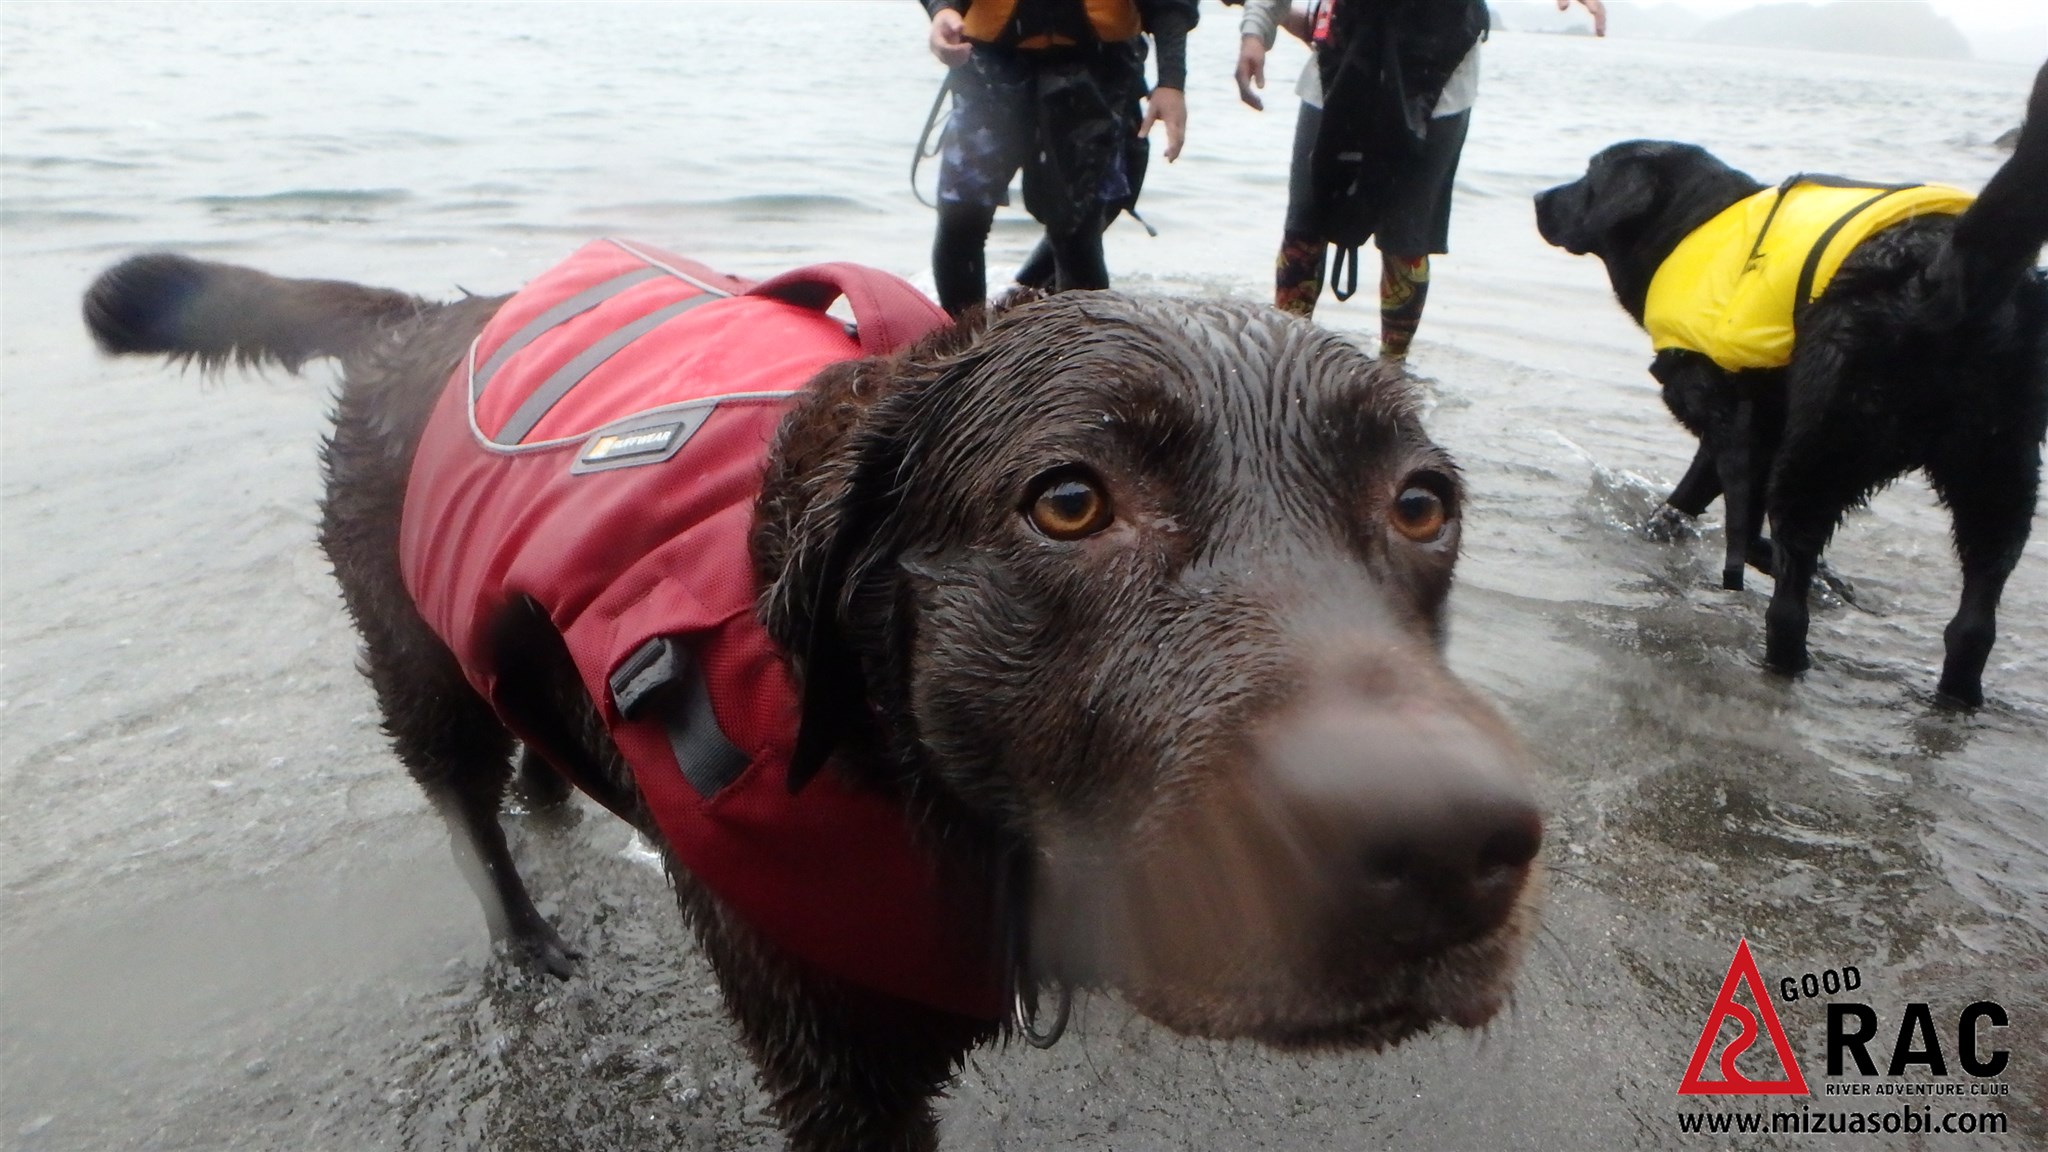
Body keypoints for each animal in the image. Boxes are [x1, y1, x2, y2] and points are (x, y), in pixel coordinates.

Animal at [88, 247, 1540, 1139]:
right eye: (1068, 501)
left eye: (1421, 505)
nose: (1448, 849)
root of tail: (424, 318)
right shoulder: (834, 1068)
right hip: (411, 660)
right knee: (460, 799)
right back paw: (524, 932)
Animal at [1540, 67, 2048, 705]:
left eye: (1589, 176)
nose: (1538, 199)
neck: (1691, 228)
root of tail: (1940, 275)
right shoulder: (1743, 426)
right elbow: (1697, 499)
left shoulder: (1734, 424)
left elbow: (1736, 524)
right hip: (1998, 470)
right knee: (1974, 623)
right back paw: (1956, 694)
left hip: (1817, 454)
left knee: (1790, 603)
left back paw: (1784, 659)